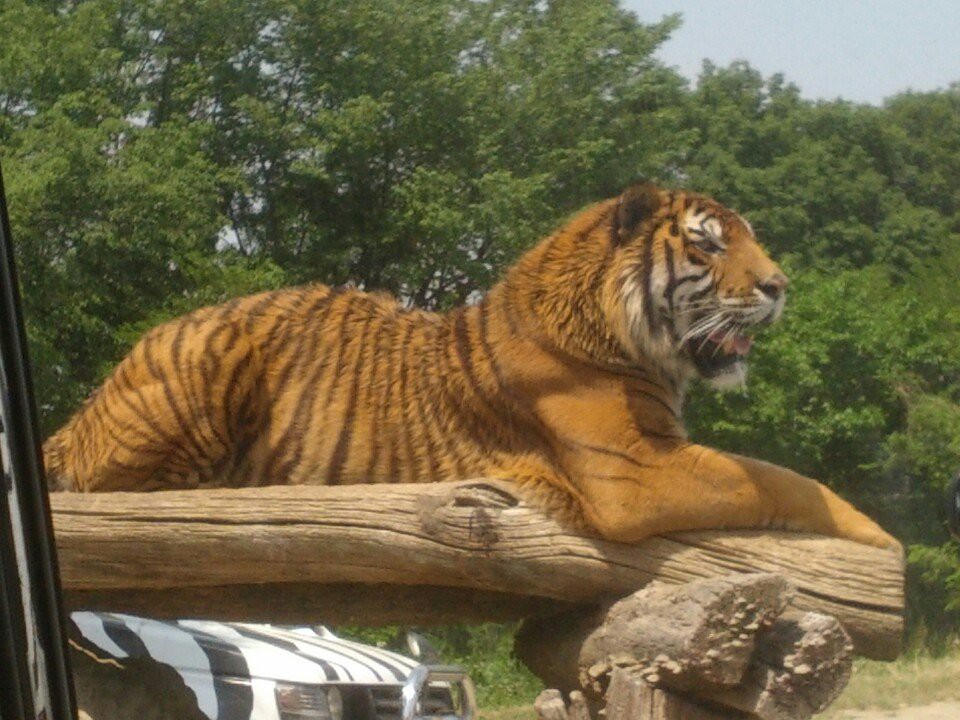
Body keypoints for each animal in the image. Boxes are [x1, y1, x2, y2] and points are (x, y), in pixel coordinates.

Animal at [45, 181, 900, 552]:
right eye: (710, 244)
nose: (781, 286)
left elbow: (776, 477)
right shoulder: (633, 468)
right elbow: (782, 480)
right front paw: (883, 543)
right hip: (204, 364)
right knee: (108, 489)